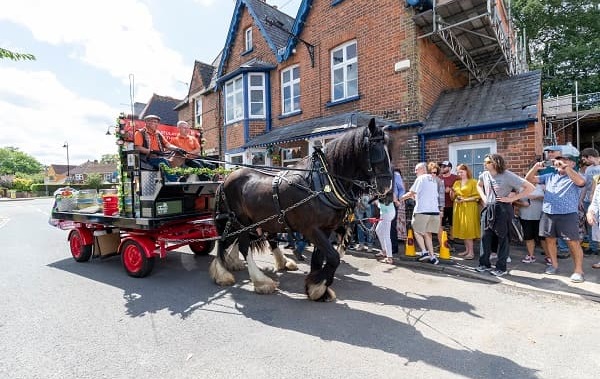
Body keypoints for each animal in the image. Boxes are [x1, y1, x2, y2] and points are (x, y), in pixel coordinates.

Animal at [209, 117, 392, 302]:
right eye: (376, 151)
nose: (387, 188)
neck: (322, 183)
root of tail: (225, 180)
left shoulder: (326, 229)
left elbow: (319, 258)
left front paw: (316, 287)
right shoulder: (310, 229)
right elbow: (333, 257)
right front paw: (318, 287)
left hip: (249, 223)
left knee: (231, 242)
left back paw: (232, 266)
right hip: (241, 222)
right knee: (239, 245)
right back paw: (257, 281)